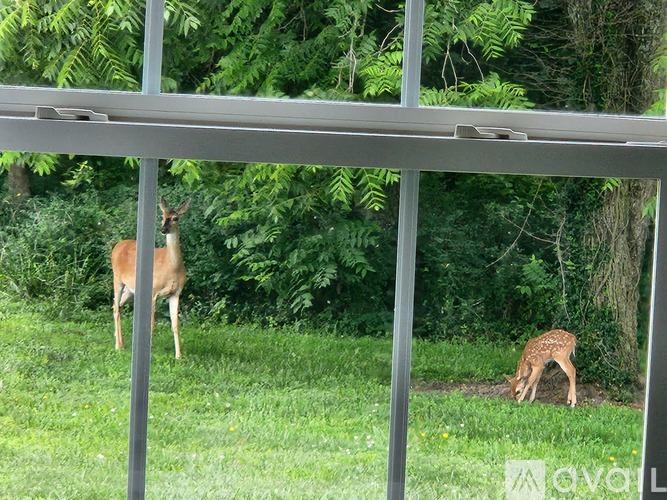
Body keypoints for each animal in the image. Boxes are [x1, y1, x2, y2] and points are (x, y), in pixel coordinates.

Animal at [112, 197, 190, 359]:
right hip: (117, 279)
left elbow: (175, 324)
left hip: (130, 290)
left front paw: (179, 356)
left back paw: (120, 341)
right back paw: (117, 346)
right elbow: (151, 323)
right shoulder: (153, 291)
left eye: (176, 218)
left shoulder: (176, 293)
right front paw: (150, 351)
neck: (172, 267)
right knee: (116, 307)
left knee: (117, 305)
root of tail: (117, 246)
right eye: (162, 217)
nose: (163, 230)